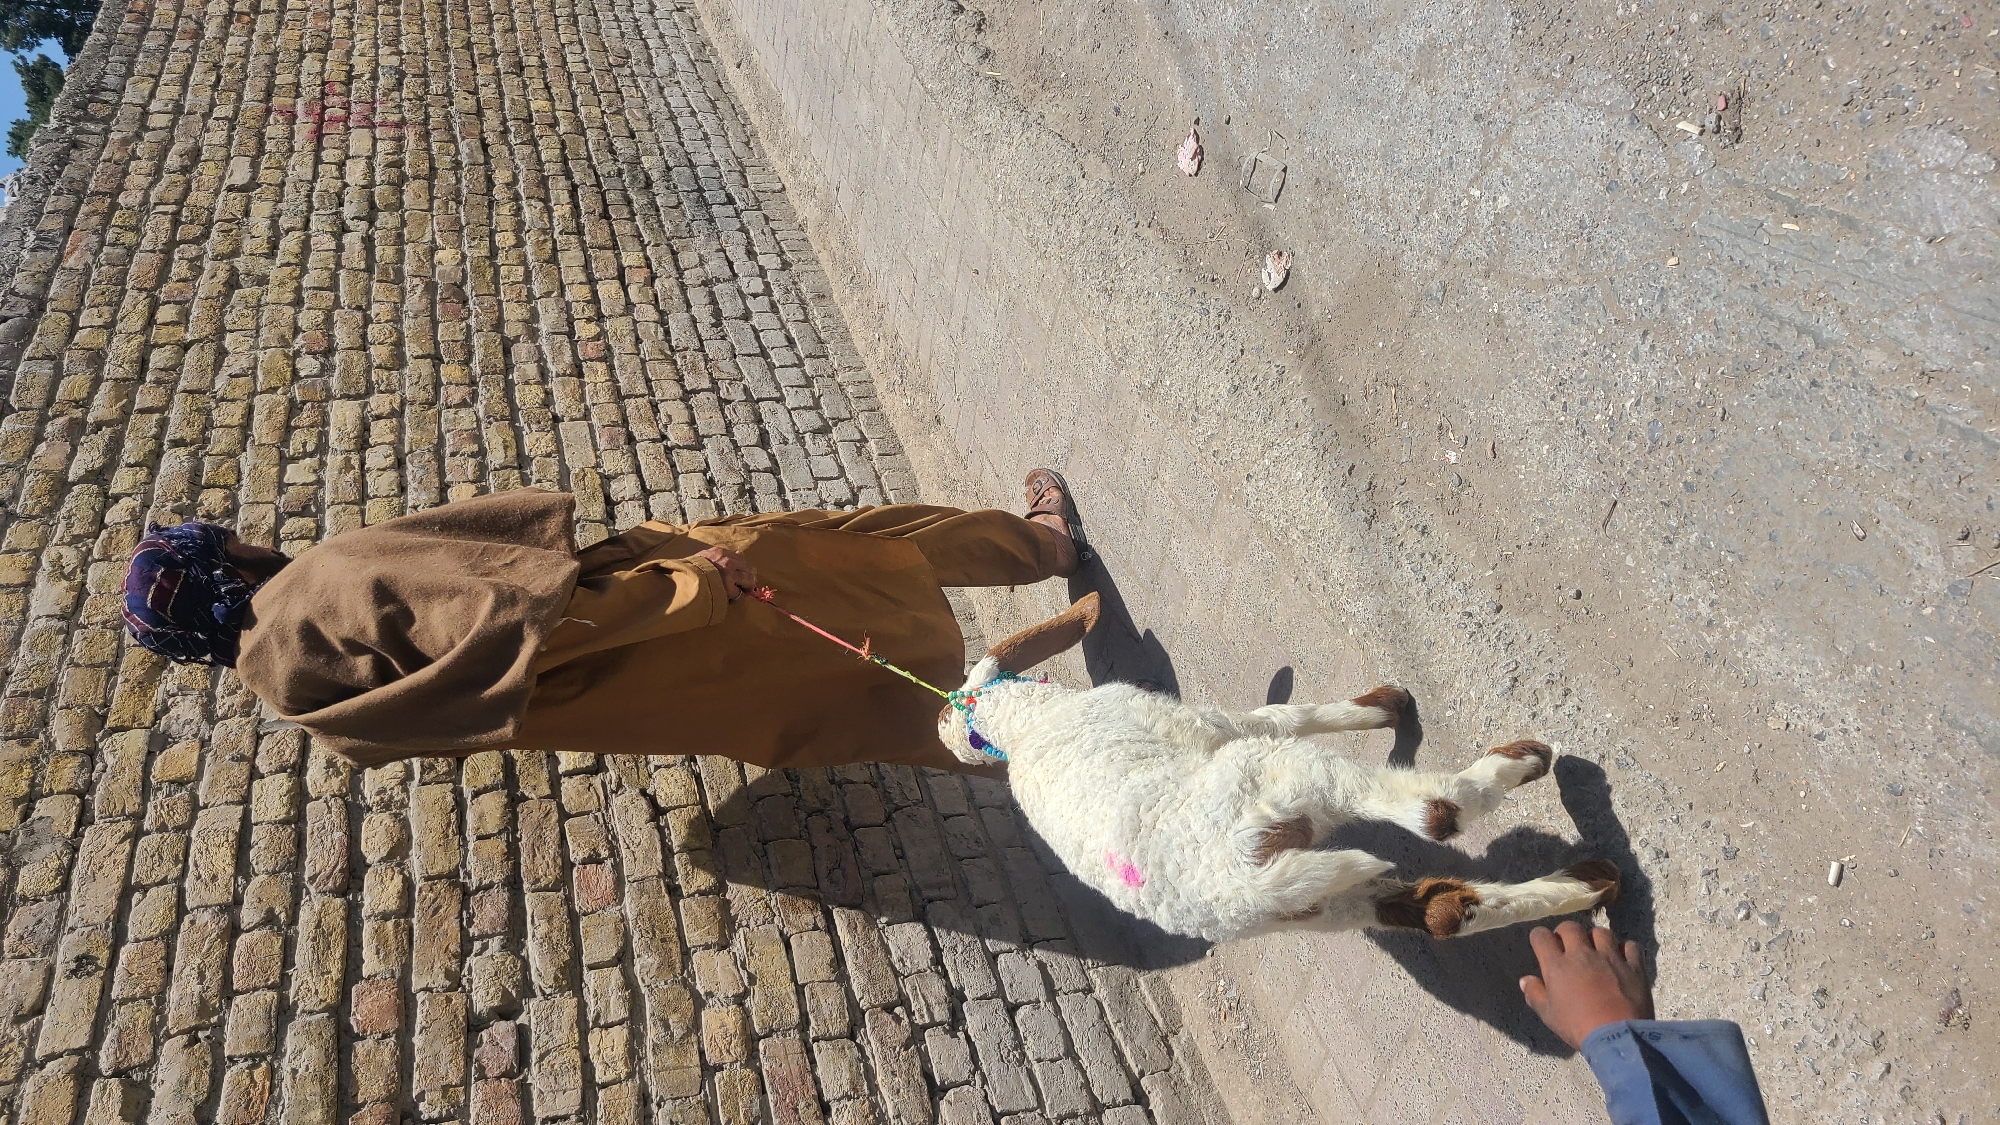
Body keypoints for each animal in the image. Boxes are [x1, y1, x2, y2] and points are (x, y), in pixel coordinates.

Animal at [939, 593, 1621, 943]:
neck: (1024, 724)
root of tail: (1240, 887)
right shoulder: (1216, 728)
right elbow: (1281, 715)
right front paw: (1386, 708)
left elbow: (1277, 712)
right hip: (1282, 784)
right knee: (1434, 813)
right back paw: (1523, 766)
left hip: (1316, 907)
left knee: (1440, 911)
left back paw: (1588, 883)